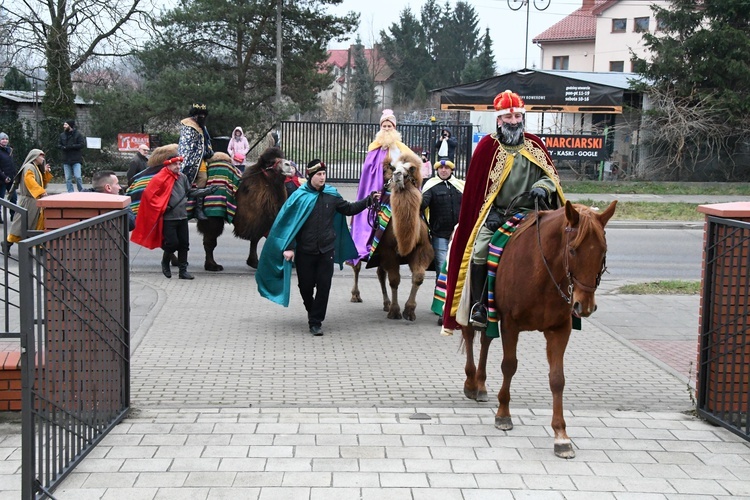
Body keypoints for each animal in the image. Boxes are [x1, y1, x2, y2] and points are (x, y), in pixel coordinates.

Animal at [352, 151, 434, 320]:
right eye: (394, 167)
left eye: (411, 168)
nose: (397, 175)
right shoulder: (387, 250)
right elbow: (394, 280)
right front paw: (395, 311)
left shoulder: (422, 248)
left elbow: (418, 277)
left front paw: (409, 310)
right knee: (357, 266)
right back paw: (356, 296)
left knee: (380, 273)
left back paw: (386, 303)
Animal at [464, 201, 616, 458]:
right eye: (573, 250)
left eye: (603, 251)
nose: (584, 306)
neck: (542, 272)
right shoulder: (510, 324)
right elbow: (509, 366)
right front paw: (503, 414)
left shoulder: (559, 329)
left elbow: (557, 379)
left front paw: (561, 436)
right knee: (469, 337)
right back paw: (470, 383)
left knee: (485, 340)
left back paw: (481, 385)